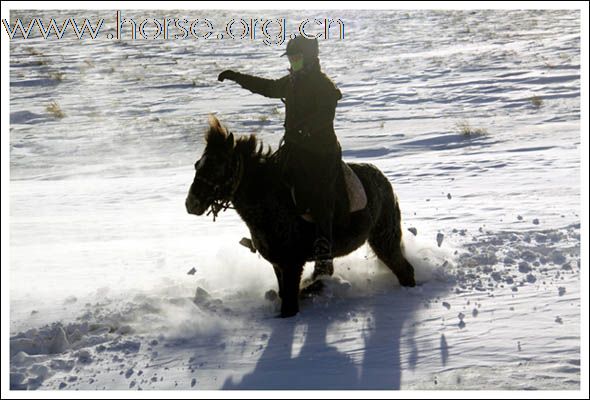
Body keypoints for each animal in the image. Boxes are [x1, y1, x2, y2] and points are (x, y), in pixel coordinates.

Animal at [185, 115, 416, 318]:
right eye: (198, 164)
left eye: (218, 165)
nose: (191, 203)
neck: (269, 201)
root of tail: (383, 181)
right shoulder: (278, 264)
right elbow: (286, 295)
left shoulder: (292, 264)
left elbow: (289, 305)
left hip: (383, 238)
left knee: (405, 270)